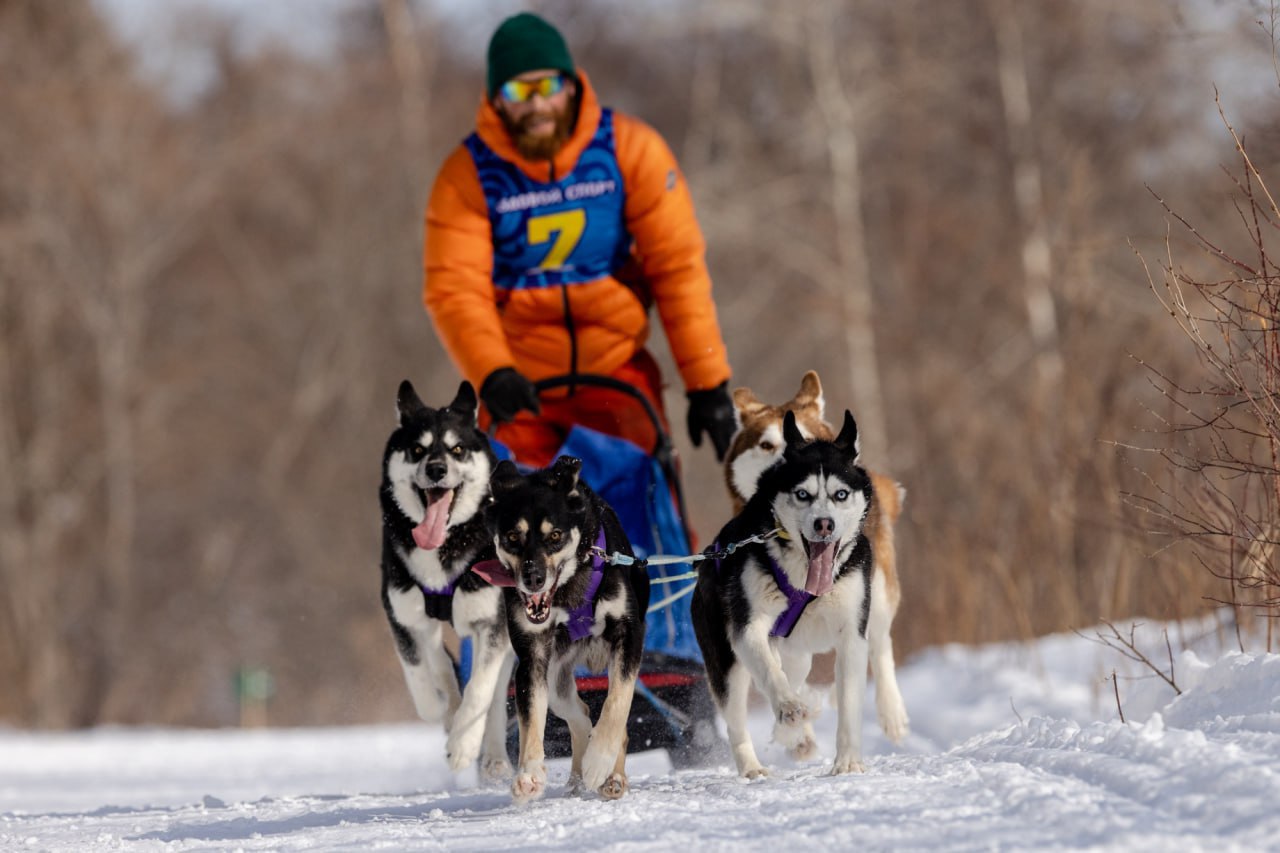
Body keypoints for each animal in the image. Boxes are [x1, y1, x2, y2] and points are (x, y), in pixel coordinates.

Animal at [378, 379, 514, 778]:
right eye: (417, 449)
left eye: (457, 449)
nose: (436, 469)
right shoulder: (402, 614)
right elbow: (421, 671)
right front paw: (441, 708)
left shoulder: (492, 623)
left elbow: (481, 689)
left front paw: (464, 746)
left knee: (495, 693)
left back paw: (493, 756)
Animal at [473, 455, 650, 799]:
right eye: (512, 537)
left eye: (554, 535)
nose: (533, 578)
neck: (569, 593)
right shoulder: (532, 659)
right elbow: (532, 719)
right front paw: (529, 773)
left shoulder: (629, 637)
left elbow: (617, 703)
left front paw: (599, 761)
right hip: (555, 681)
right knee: (581, 715)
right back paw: (578, 777)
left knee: (614, 721)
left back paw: (611, 776)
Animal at [691, 409, 911, 773]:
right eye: (802, 494)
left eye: (840, 494)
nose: (824, 524)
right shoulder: (748, 629)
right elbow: (770, 674)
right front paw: (788, 708)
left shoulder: (852, 633)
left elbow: (850, 701)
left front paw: (848, 761)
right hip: (728, 662)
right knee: (740, 716)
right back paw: (756, 763)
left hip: (828, 635)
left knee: (876, 647)